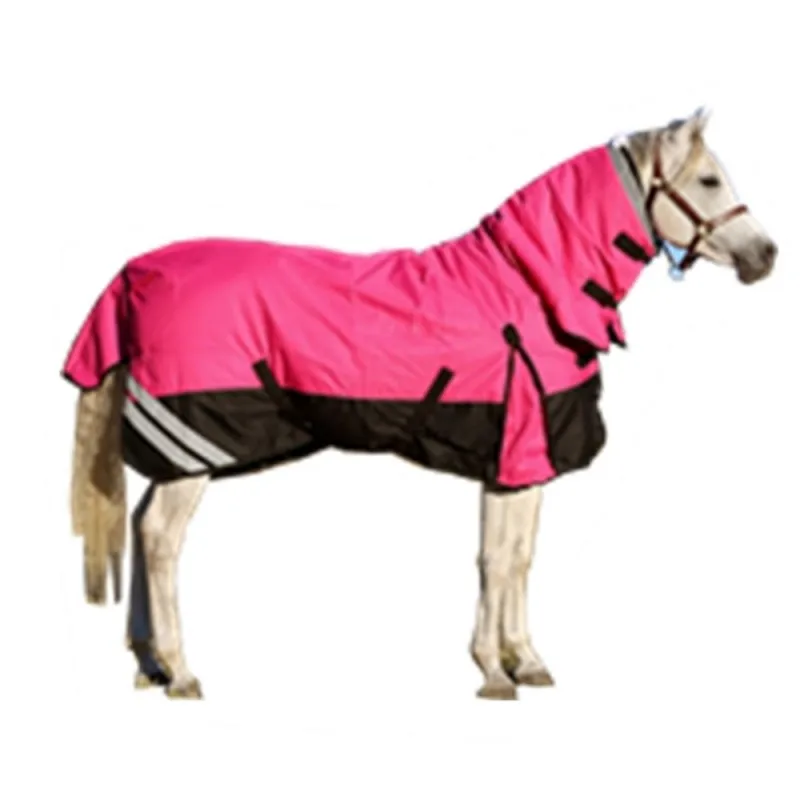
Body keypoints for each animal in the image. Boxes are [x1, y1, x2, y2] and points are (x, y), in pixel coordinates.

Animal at [63, 107, 778, 700]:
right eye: (709, 180)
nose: (766, 255)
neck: (530, 292)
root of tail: (135, 273)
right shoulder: (512, 452)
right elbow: (495, 559)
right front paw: (493, 672)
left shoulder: (522, 462)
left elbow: (518, 556)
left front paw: (525, 660)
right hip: (193, 452)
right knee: (160, 539)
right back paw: (181, 672)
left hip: (179, 461)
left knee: (141, 525)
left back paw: (149, 666)